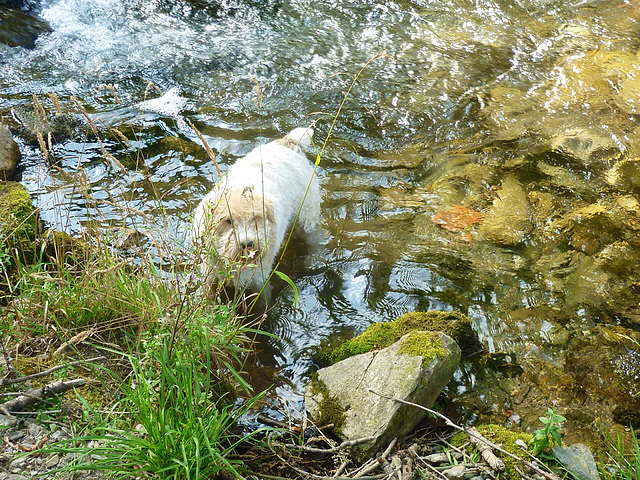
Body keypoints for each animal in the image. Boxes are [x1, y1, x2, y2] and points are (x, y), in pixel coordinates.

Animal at [190, 127, 320, 292]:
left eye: (255, 217)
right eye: (228, 221)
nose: (248, 244)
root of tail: (289, 142)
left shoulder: (259, 282)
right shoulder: (208, 279)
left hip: (307, 217)